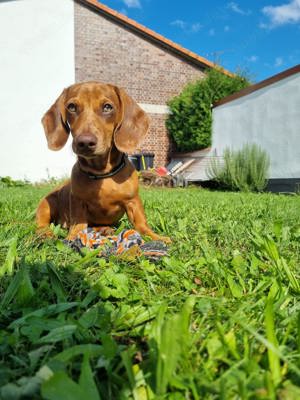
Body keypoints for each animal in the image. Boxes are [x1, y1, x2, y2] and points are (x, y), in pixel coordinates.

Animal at [35, 81, 171, 242]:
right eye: (71, 107)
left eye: (107, 107)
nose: (85, 142)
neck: (102, 174)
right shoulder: (78, 203)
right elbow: (79, 225)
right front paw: (72, 238)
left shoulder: (133, 202)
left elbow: (141, 224)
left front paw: (156, 237)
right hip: (46, 205)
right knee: (41, 224)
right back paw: (46, 234)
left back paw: (104, 229)